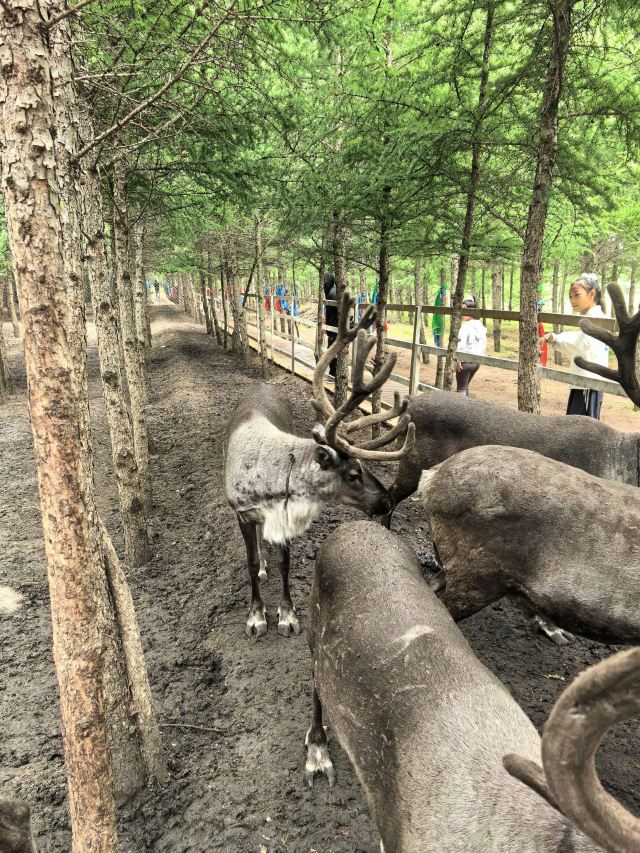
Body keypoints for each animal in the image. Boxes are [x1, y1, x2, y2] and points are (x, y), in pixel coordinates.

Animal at [223, 293, 414, 638]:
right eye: (353, 474)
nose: (387, 501)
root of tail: (264, 384)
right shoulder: (242, 512)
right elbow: (250, 560)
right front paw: (256, 615)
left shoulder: (283, 516)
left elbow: (285, 563)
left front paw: (287, 615)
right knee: (256, 544)